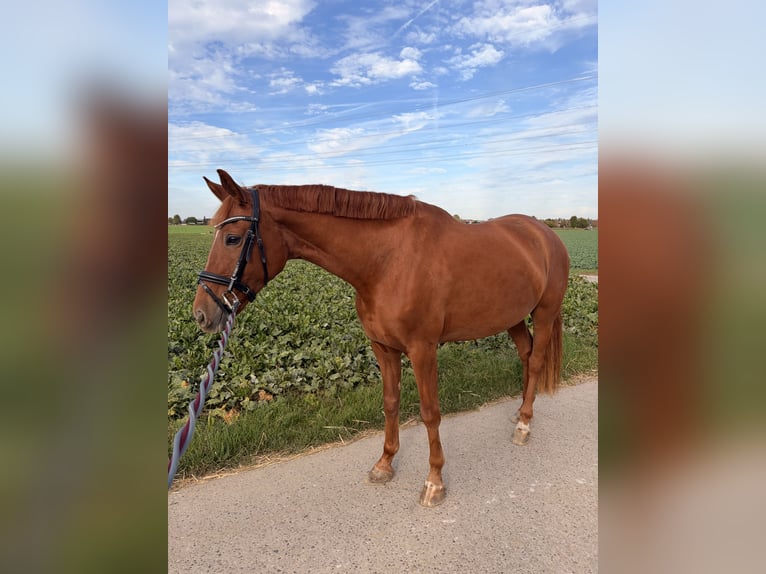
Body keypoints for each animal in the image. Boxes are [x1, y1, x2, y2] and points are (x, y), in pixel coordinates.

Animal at [193, 169, 570, 507]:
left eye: (232, 238)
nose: (201, 314)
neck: (388, 262)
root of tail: (545, 234)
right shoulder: (383, 347)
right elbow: (390, 403)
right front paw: (384, 464)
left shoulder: (422, 349)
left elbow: (430, 412)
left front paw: (434, 481)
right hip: (513, 317)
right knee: (526, 354)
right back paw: (520, 413)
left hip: (544, 313)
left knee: (537, 359)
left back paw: (524, 426)